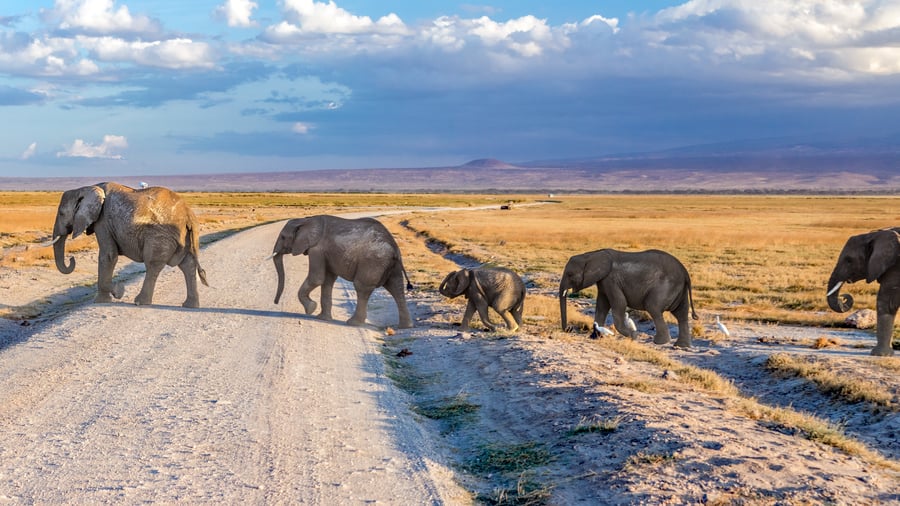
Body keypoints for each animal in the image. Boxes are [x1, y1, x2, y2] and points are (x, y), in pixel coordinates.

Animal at [52, 182, 208, 308]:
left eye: (61, 213)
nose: (72, 259)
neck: (86, 188)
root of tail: (188, 215)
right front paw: (110, 296)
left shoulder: (103, 221)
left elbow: (108, 255)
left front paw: (116, 293)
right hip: (184, 237)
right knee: (187, 264)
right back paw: (190, 305)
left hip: (160, 236)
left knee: (153, 264)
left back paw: (140, 302)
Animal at [272, 215, 414, 328]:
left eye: (283, 237)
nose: (276, 302)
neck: (305, 220)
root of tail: (394, 248)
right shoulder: (326, 253)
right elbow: (327, 280)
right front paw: (322, 318)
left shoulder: (317, 249)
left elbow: (317, 278)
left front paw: (311, 309)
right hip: (389, 264)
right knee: (396, 288)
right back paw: (405, 326)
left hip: (373, 261)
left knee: (362, 287)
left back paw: (353, 323)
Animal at [559, 249, 698, 347]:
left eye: (570, 274)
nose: (569, 329)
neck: (591, 255)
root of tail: (685, 273)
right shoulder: (603, 281)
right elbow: (602, 306)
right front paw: (595, 336)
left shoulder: (611, 280)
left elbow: (619, 304)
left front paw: (633, 336)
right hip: (679, 289)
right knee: (681, 314)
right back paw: (681, 346)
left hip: (666, 286)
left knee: (653, 307)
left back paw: (659, 342)